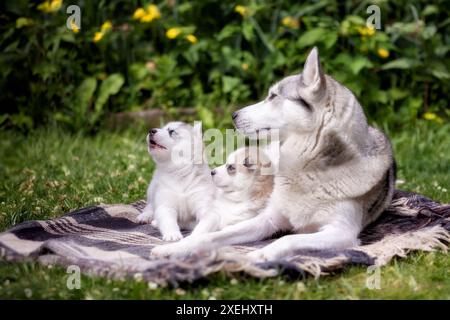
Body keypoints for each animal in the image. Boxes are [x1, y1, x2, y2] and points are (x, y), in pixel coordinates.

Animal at [153, 48, 396, 262]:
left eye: (272, 96)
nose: (233, 114)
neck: (306, 167)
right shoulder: (267, 218)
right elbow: (213, 236)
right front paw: (178, 247)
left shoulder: (342, 232)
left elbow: (288, 239)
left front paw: (259, 255)